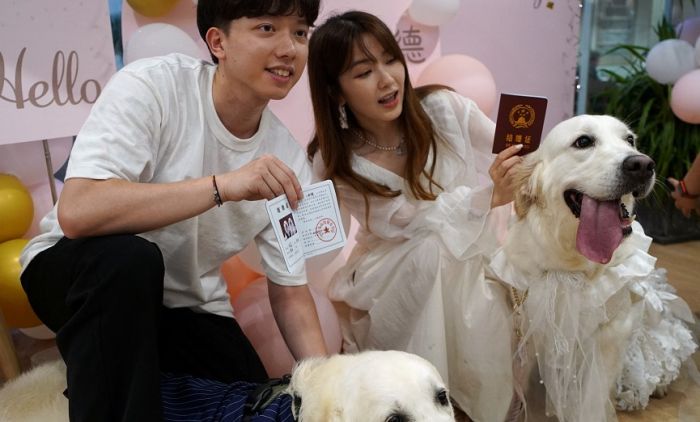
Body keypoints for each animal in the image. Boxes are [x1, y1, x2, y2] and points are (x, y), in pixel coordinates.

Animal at [487, 115, 696, 421]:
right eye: (583, 141)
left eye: (630, 140)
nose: (642, 165)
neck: (572, 269)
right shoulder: (529, 329)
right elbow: (524, 390)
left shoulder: (609, 338)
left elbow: (592, 402)